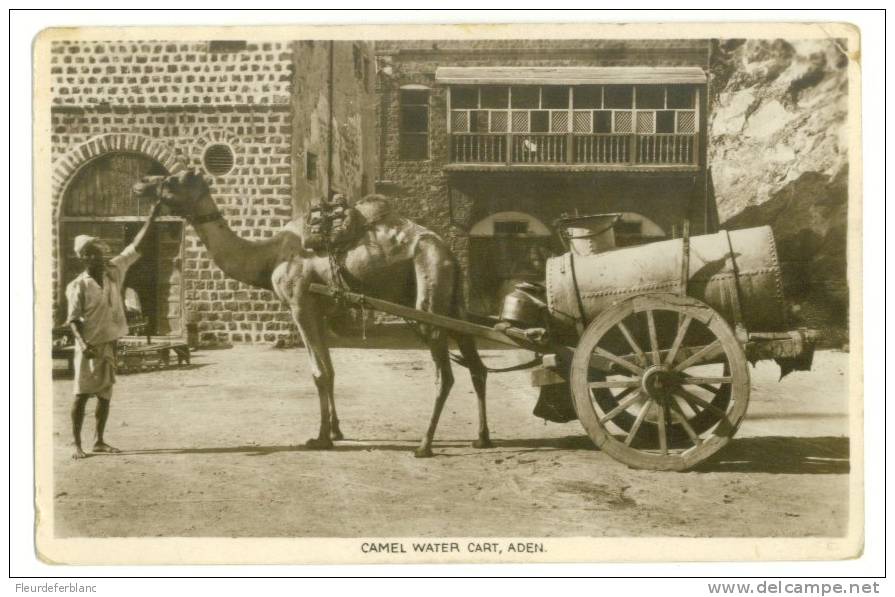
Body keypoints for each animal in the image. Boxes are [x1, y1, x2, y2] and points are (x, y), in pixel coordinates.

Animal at [135, 169, 490, 456]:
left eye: (174, 179)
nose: (141, 183)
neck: (268, 257)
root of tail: (449, 253)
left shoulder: (300, 305)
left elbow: (318, 373)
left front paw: (320, 438)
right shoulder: (320, 312)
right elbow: (330, 371)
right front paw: (336, 430)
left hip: (428, 289)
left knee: (445, 375)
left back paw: (424, 445)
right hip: (452, 300)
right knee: (477, 366)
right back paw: (482, 438)